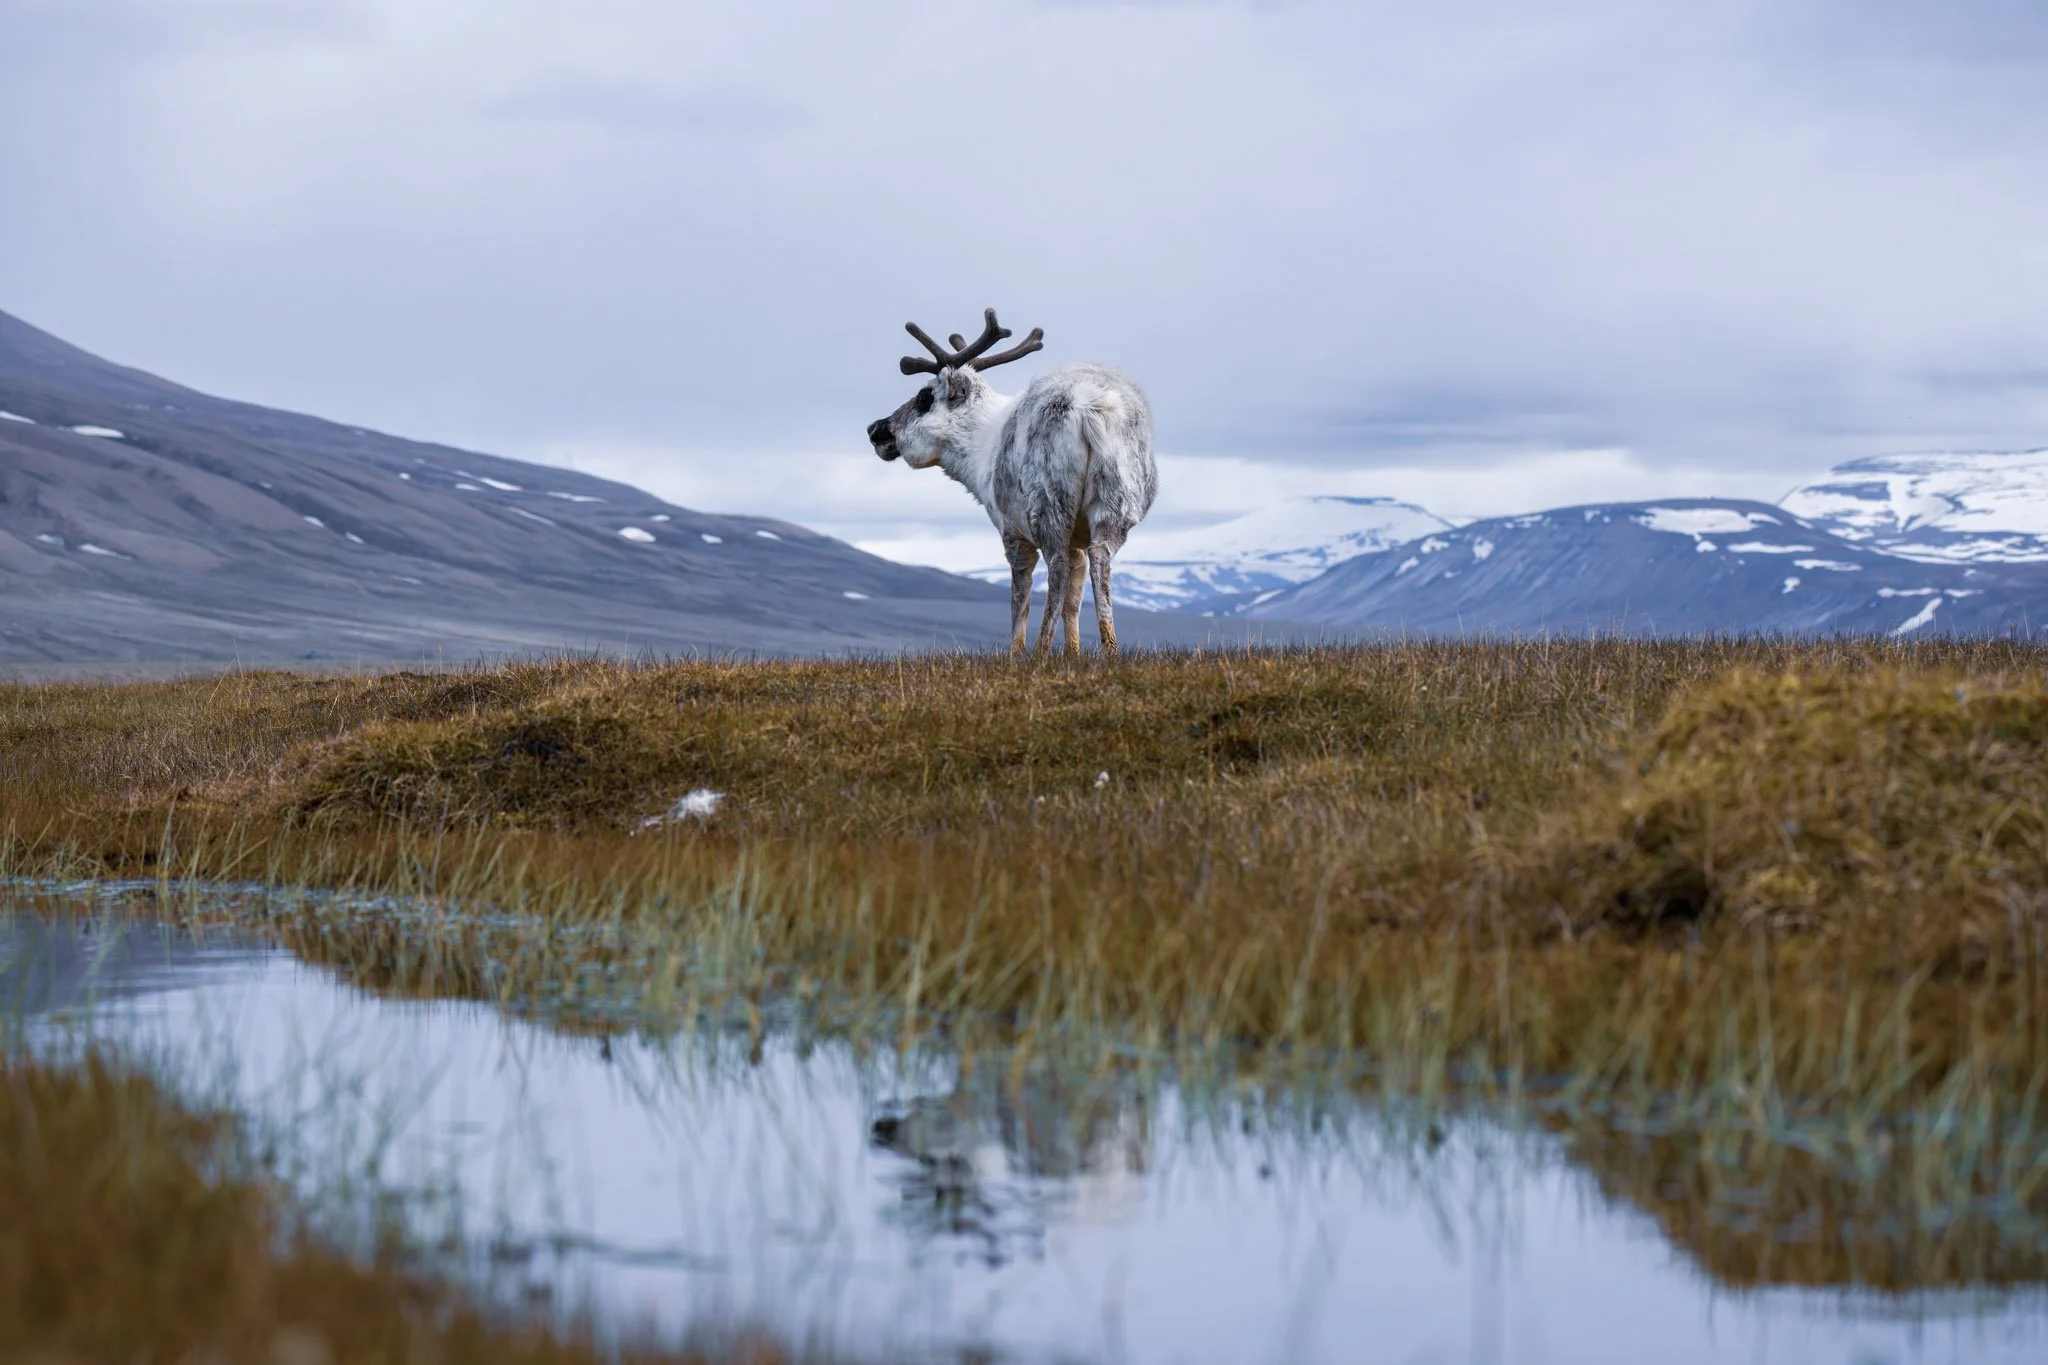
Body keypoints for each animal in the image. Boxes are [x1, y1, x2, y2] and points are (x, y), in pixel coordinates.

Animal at [866, 308, 1156, 656]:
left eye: (924, 396)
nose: (876, 430)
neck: (980, 445)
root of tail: (1089, 407)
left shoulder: (1011, 530)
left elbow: (1021, 596)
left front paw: (1015, 653)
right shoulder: (1078, 539)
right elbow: (1074, 598)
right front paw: (1074, 653)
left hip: (1048, 502)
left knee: (1056, 565)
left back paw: (1041, 650)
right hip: (1116, 500)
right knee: (1100, 557)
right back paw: (1110, 650)